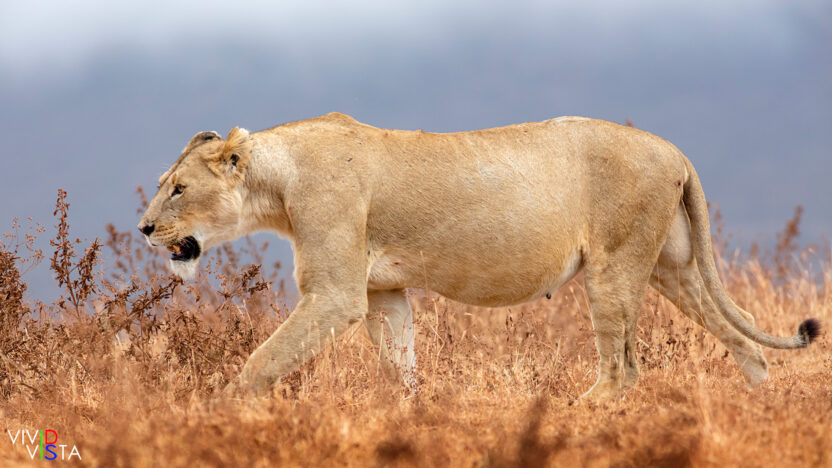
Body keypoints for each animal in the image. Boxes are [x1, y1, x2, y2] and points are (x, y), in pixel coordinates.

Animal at [138, 113, 820, 400]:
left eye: (178, 188)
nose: (143, 228)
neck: (277, 181)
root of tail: (674, 149)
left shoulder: (335, 295)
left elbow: (263, 358)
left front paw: (219, 410)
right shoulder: (382, 293)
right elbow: (400, 361)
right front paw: (414, 413)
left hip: (616, 266)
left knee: (624, 368)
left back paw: (579, 414)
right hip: (671, 268)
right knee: (742, 332)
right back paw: (760, 406)